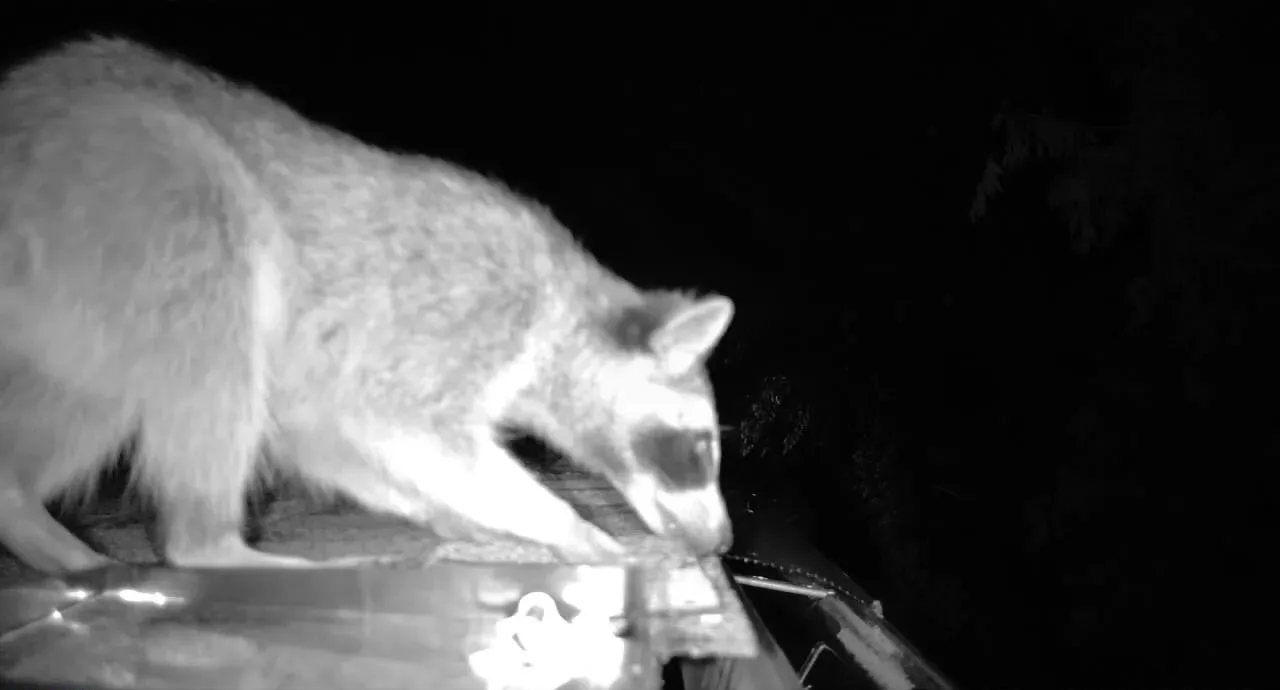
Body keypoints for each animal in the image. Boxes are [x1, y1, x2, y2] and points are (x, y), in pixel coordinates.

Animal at [0, 37, 735, 574]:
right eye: (700, 447)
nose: (726, 541)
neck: (564, 303)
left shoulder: (324, 373)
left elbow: (325, 437)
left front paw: (446, 513)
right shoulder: (454, 314)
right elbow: (403, 426)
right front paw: (568, 524)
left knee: (94, 398)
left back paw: (26, 513)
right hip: (141, 193)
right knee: (209, 331)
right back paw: (211, 543)